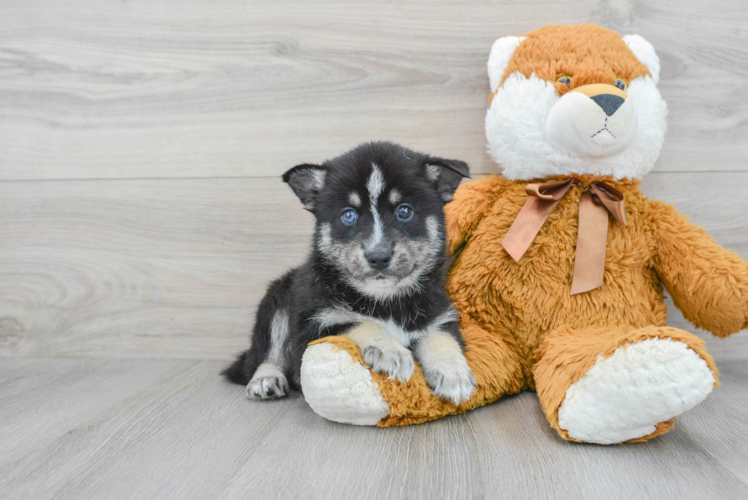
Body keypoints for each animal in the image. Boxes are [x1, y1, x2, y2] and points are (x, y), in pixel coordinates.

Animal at [222, 141, 476, 406]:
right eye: (348, 215)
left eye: (404, 211)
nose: (378, 257)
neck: (385, 300)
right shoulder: (313, 326)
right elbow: (357, 322)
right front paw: (391, 351)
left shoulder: (439, 314)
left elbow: (441, 338)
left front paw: (453, 374)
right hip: (276, 298)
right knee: (267, 353)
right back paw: (266, 380)